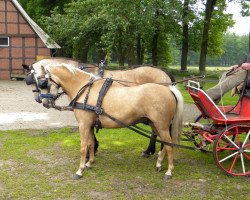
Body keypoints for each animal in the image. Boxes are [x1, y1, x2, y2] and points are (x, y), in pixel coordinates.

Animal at [23, 57, 176, 157]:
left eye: (43, 83)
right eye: (34, 82)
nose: (41, 101)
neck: (83, 80)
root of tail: (164, 73)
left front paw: (92, 149)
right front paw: (93, 149)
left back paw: (157, 151)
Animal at [35, 63, 184, 180]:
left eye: (43, 83)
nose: (43, 102)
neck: (85, 89)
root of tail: (169, 89)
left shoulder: (83, 125)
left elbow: (83, 147)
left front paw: (80, 170)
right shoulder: (89, 125)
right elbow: (90, 144)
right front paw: (90, 162)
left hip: (161, 125)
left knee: (169, 144)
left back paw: (169, 171)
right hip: (156, 124)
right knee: (165, 143)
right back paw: (159, 162)